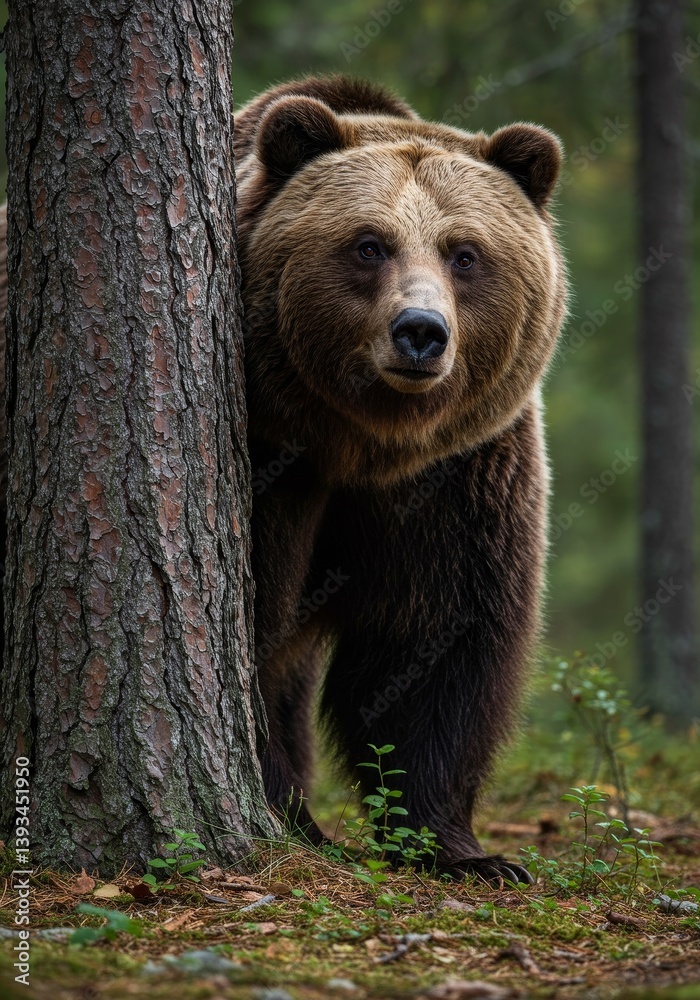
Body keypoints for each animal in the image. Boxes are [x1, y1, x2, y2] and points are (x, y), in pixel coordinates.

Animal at [235, 75, 567, 884]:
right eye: (368, 244)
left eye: (465, 253)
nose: (420, 331)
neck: (361, 443)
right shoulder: (269, 462)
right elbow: (250, 631)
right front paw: (287, 816)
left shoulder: (456, 474)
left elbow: (435, 640)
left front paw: (464, 850)